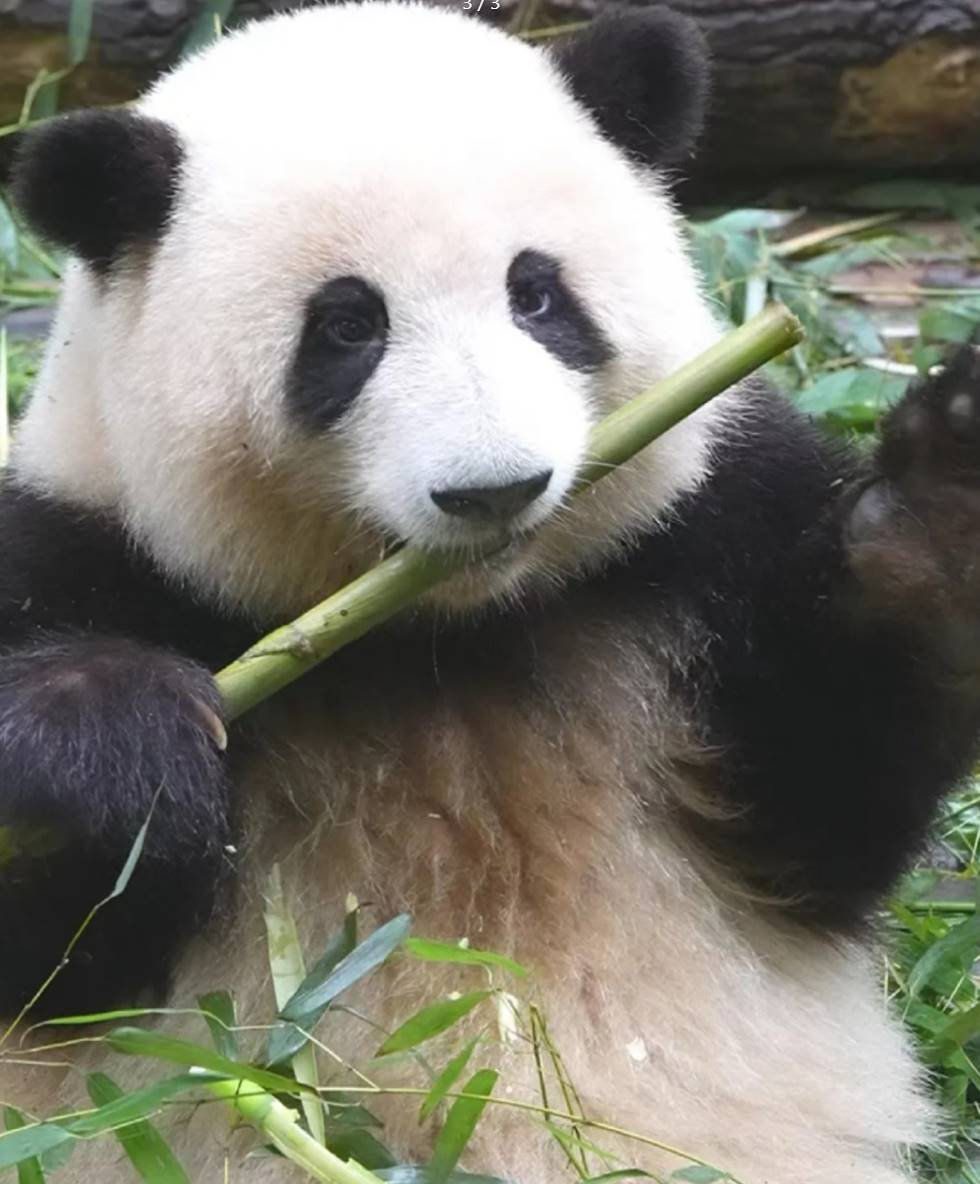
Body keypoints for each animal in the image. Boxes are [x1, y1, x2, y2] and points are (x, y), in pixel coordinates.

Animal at [2, 2, 980, 1180]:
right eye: (347, 326)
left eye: (536, 293)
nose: (495, 489)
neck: (452, 631)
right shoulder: (83, 556)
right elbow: (62, 969)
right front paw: (112, 736)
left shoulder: (709, 530)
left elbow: (831, 788)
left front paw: (940, 507)